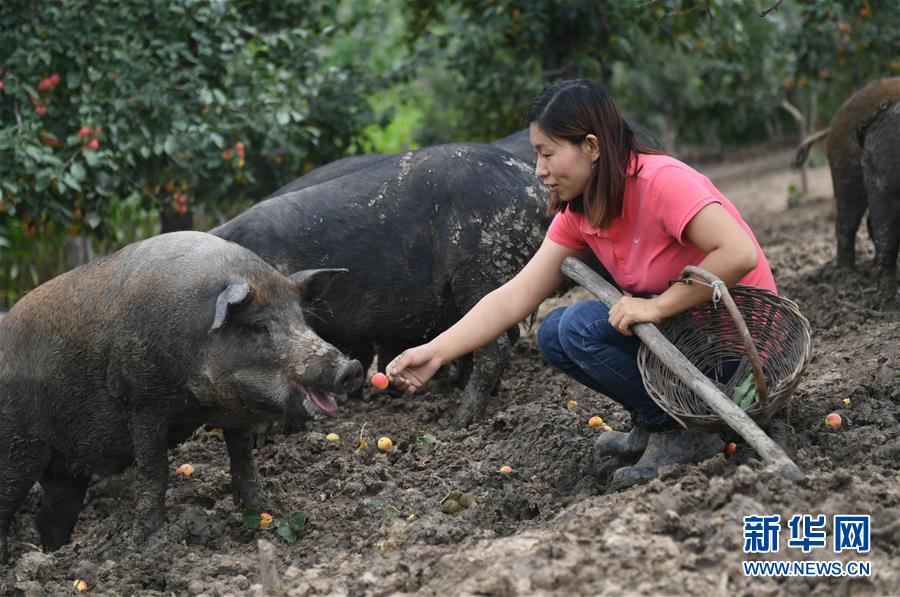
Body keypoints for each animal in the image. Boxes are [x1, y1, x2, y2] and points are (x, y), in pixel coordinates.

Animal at [0, 230, 358, 560]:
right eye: (260, 327)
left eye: (303, 320)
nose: (350, 367)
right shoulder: (143, 404)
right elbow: (154, 474)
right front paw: (151, 543)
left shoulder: (236, 417)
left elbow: (245, 468)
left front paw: (260, 518)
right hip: (17, 447)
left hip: (66, 469)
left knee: (51, 517)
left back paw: (54, 555)